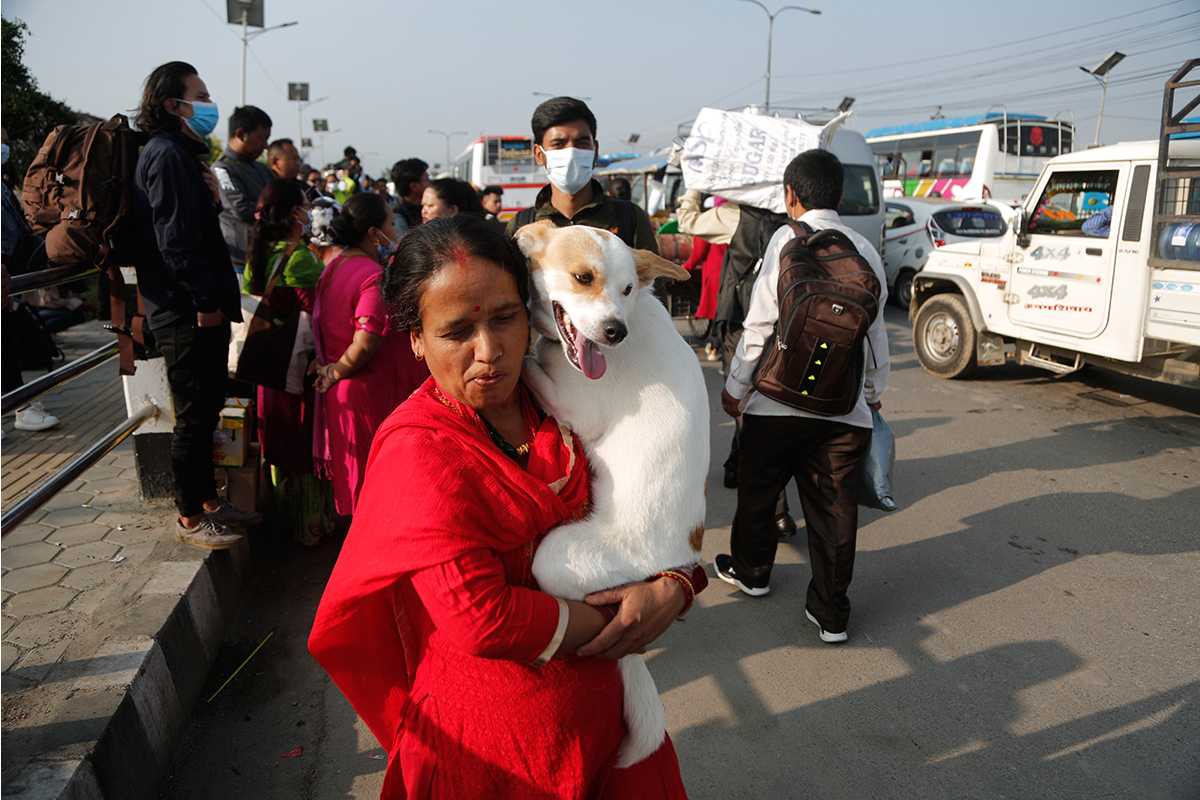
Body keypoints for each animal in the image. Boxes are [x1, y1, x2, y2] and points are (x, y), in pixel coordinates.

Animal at [518, 220, 710, 767]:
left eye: (627, 289)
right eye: (583, 278)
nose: (614, 332)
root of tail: (682, 553)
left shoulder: (578, 411)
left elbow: (529, 364)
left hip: (559, 557)